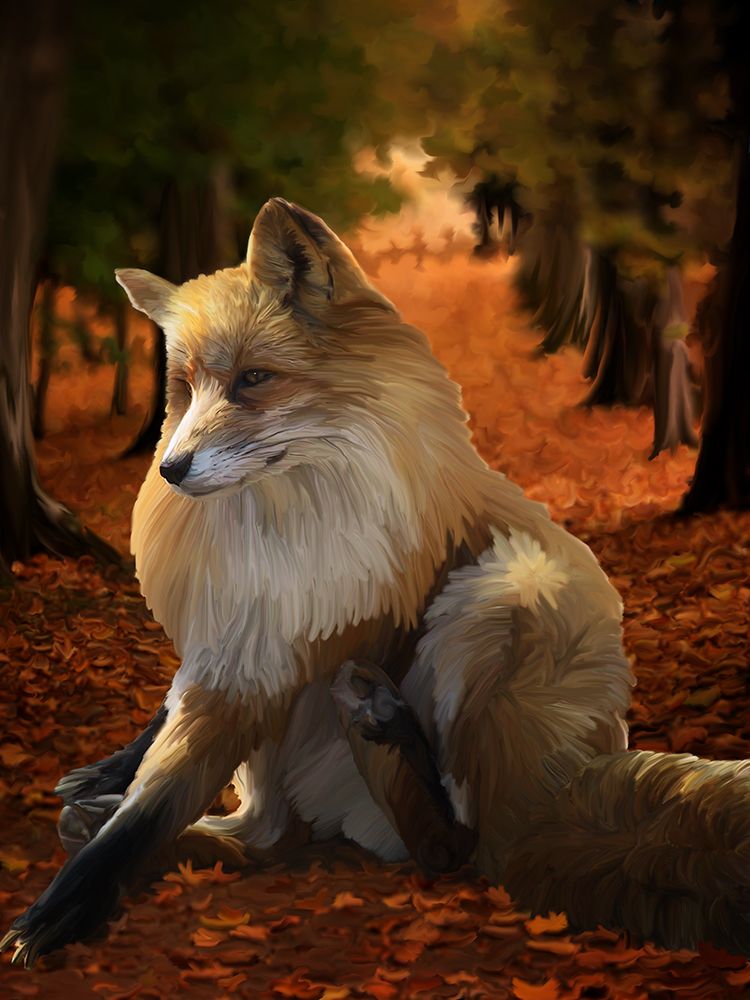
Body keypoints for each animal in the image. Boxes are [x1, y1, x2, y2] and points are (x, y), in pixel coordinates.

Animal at [4, 197, 750, 968]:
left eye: (252, 380)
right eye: (183, 390)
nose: (170, 470)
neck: (284, 527)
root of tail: (560, 786)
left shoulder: (277, 653)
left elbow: (151, 808)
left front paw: (63, 905)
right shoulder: (238, 638)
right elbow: (156, 750)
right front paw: (105, 786)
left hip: (499, 597)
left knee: (458, 848)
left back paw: (389, 732)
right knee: (270, 838)